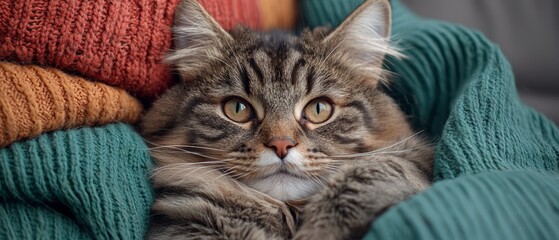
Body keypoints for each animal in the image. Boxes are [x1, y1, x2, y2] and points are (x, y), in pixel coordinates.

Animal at [139, 0, 434, 239]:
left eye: (319, 109)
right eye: (237, 109)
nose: (281, 145)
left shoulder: (405, 160)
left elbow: (372, 169)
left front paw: (321, 230)